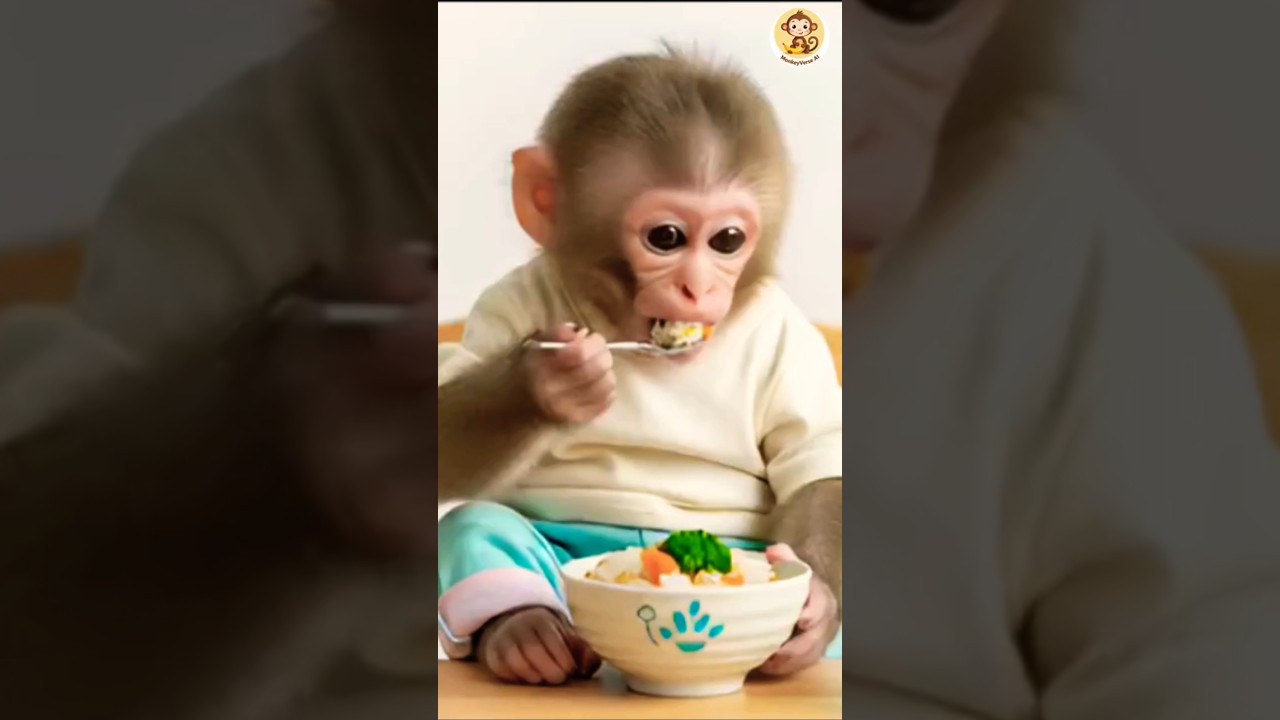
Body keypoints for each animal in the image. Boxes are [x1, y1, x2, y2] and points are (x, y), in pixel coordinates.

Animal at [434, 47, 843, 685]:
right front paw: (547, 383)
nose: (698, 288)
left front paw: (813, 613)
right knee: (476, 522)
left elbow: (816, 472)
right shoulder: (506, 300)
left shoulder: (789, 338)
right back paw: (524, 631)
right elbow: (446, 434)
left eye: (728, 241)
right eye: (666, 237)